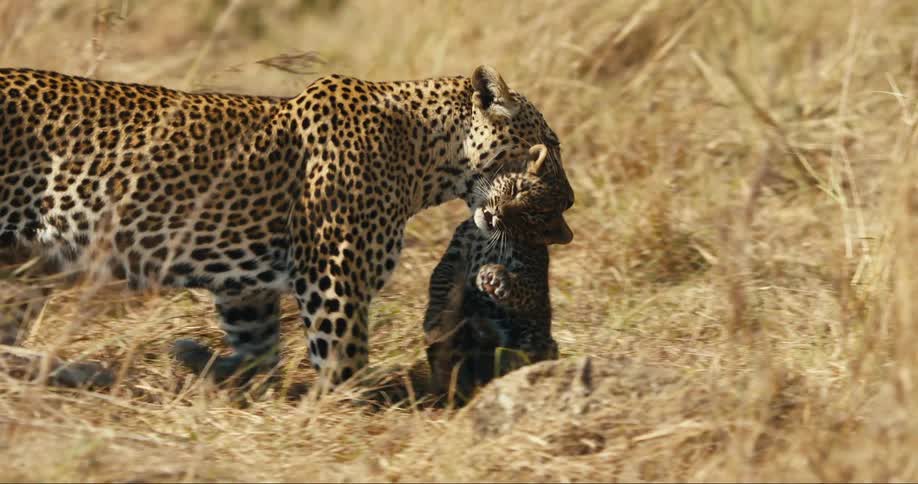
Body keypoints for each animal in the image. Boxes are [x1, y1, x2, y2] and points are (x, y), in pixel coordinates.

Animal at [424, 144, 573, 403]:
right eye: (515, 190)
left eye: (528, 218)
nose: (496, 214)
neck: (485, 237)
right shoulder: (452, 257)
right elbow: (440, 281)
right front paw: (435, 325)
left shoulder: (534, 281)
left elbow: (523, 287)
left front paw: (495, 277)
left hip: (539, 343)